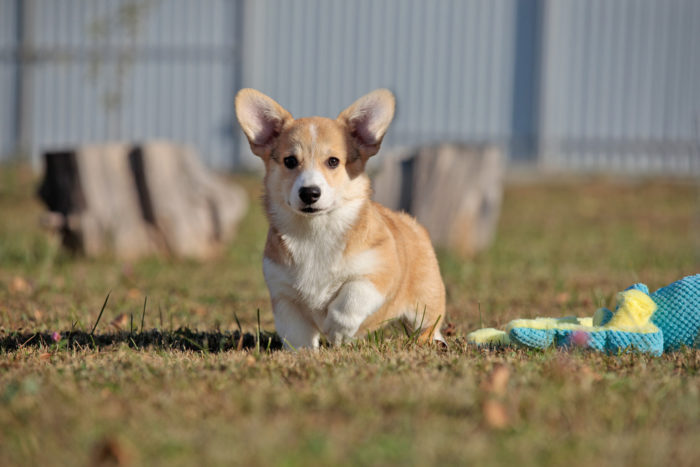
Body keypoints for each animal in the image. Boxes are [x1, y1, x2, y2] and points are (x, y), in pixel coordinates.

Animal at [234, 89, 442, 350]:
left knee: (430, 325)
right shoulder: (284, 294)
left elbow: (351, 297)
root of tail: (411, 223)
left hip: (426, 303)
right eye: (290, 161)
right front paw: (304, 353)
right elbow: (296, 333)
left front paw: (337, 330)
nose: (309, 193)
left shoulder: (377, 272)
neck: (315, 231)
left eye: (333, 161)